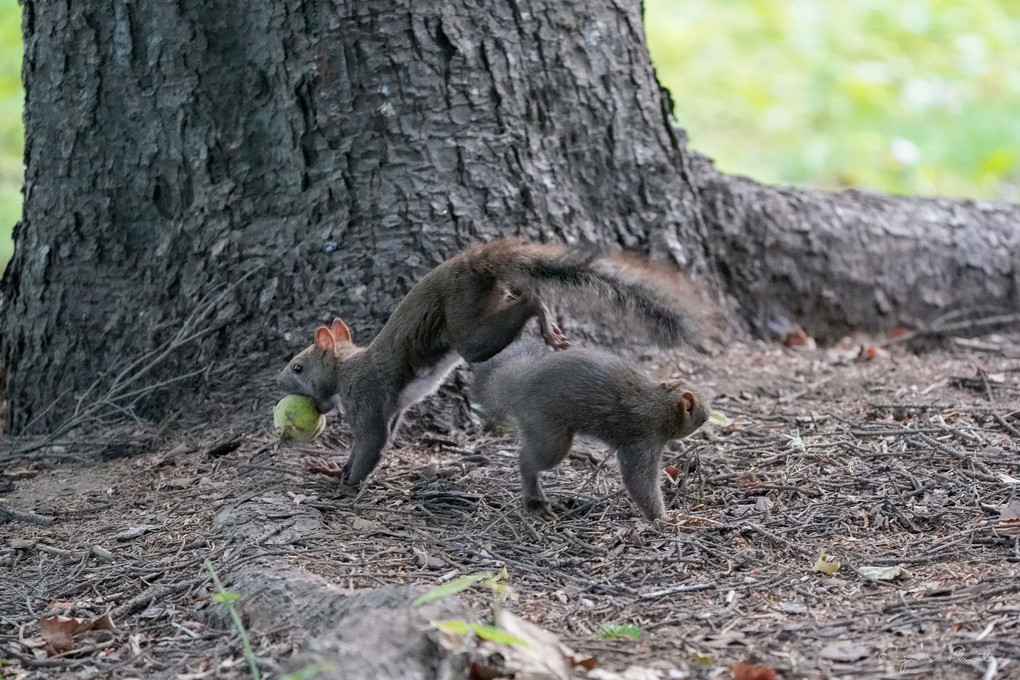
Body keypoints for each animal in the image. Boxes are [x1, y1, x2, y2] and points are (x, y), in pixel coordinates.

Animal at [471, 338, 705, 521]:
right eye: (699, 412)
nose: (706, 414)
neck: (658, 406)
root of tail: (517, 386)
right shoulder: (641, 444)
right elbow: (640, 484)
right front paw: (665, 519)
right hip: (549, 435)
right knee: (526, 463)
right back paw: (534, 502)